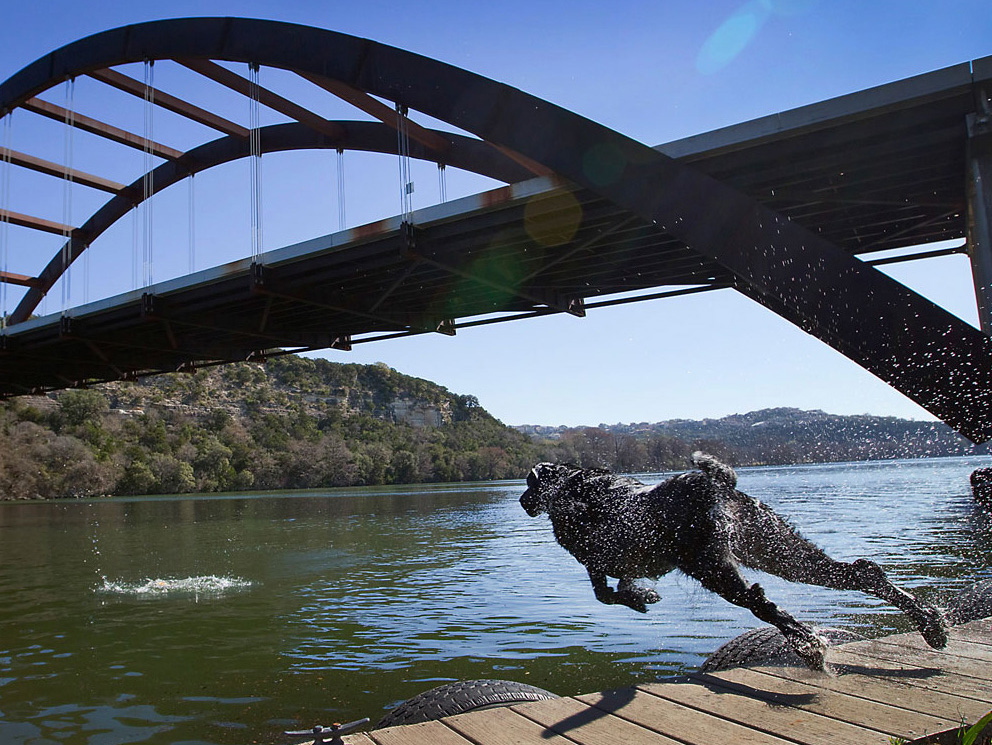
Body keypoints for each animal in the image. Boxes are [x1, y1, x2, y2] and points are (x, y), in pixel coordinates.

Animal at [520, 450, 944, 672]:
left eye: (528, 483)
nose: (522, 502)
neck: (571, 486)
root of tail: (717, 484)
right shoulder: (618, 565)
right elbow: (617, 590)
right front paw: (642, 597)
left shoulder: (594, 560)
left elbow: (604, 594)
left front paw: (640, 599)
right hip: (781, 551)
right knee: (860, 572)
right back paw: (930, 622)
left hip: (714, 569)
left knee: (763, 604)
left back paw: (809, 645)